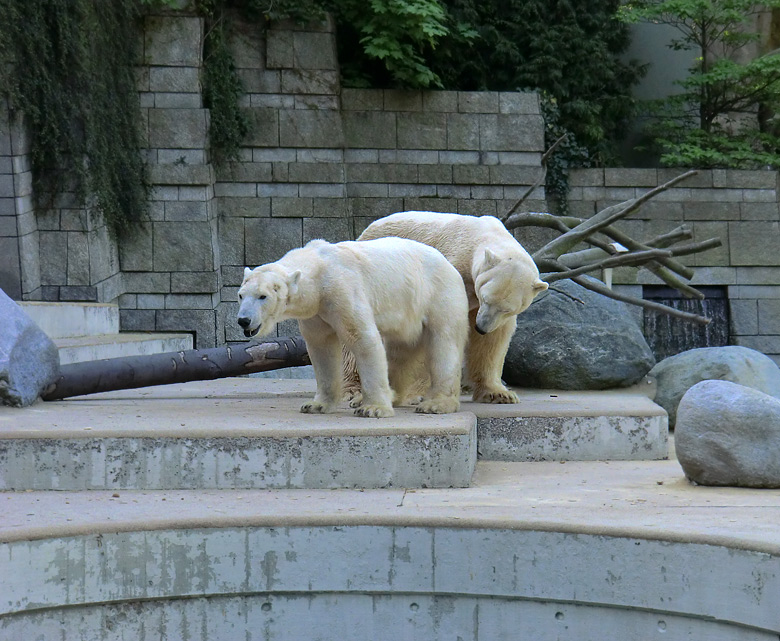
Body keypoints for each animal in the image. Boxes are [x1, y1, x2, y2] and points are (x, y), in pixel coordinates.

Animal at [238, 238, 466, 418]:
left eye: (262, 296)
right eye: (241, 295)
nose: (243, 320)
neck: (319, 269)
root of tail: (449, 265)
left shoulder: (342, 290)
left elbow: (362, 339)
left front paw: (373, 409)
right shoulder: (317, 311)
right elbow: (321, 348)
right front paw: (316, 405)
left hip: (439, 295)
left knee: (444, 345)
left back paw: (436, 404)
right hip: (408, 315)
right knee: (399, 353)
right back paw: (389, 395)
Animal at [354, 210, 548, 402]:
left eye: (507, 309)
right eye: (485, 298)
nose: (481, 327)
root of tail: (369, 228)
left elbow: (493, 340)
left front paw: (498, 393)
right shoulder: (451, 272)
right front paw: (415, 395)